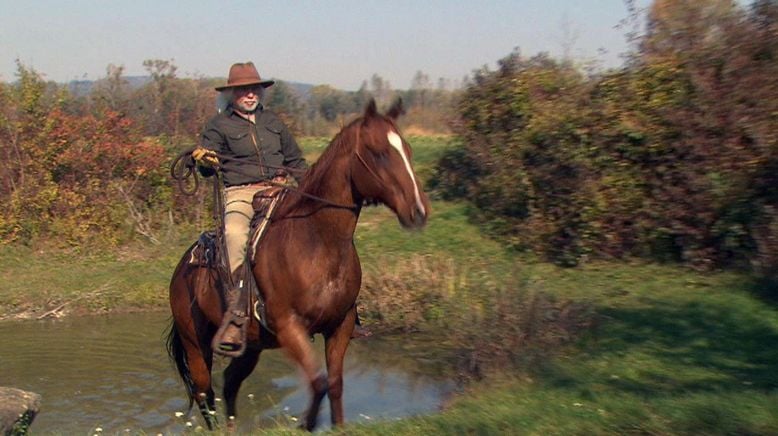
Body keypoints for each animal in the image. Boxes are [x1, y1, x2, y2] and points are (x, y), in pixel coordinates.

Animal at [165, 99, 430, 430]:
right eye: (378, 152)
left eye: (407, 149)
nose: (418, 211)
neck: (316, 242)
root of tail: (181, 270)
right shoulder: (290, 328)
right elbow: (317, 382)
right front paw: (306, 424)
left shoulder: (340, 327)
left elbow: (334, 384)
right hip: (195, 344)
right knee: (204, 393)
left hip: (250, 348)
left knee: (229, 384)